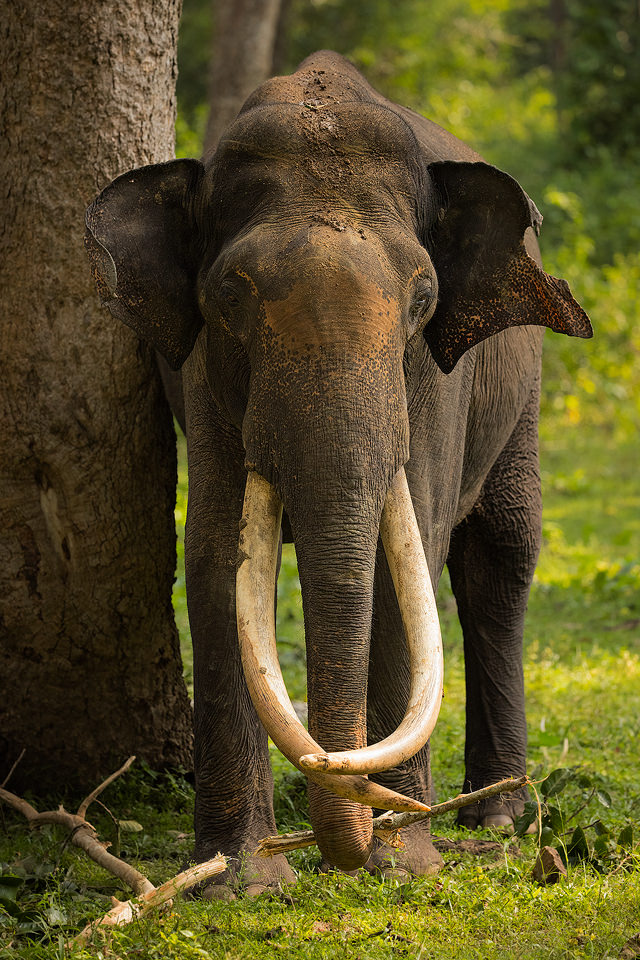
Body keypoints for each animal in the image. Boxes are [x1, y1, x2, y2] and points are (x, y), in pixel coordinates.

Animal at [84, 50, 592, 892]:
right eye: (229, 297)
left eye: (423, 299)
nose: (356, 821)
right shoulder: (206, 370)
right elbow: (216, 555)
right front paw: (238, 878)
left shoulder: (434, 382)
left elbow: (410, 548)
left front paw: (400, 867)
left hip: (522, 399)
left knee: (500, 559)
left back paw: (495, 819)